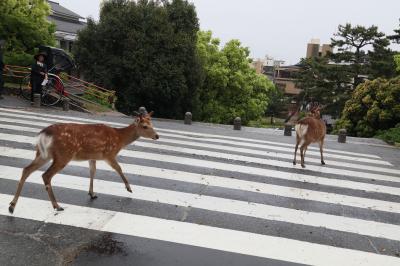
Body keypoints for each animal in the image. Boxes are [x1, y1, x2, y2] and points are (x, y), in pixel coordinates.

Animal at [8, 111, 159, 213]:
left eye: (152, 124)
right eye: (145, 126)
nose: (157, 136)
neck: (119, 139)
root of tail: (43, 134)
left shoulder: (93, 157)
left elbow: (92, 171)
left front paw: (92, 193)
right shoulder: (109, 154)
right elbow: (119, 168)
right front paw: (129, 188)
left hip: (43, 154)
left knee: (26, 169)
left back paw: (12, 205)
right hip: (63, 155)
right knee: (46, 175)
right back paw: (57, 206)